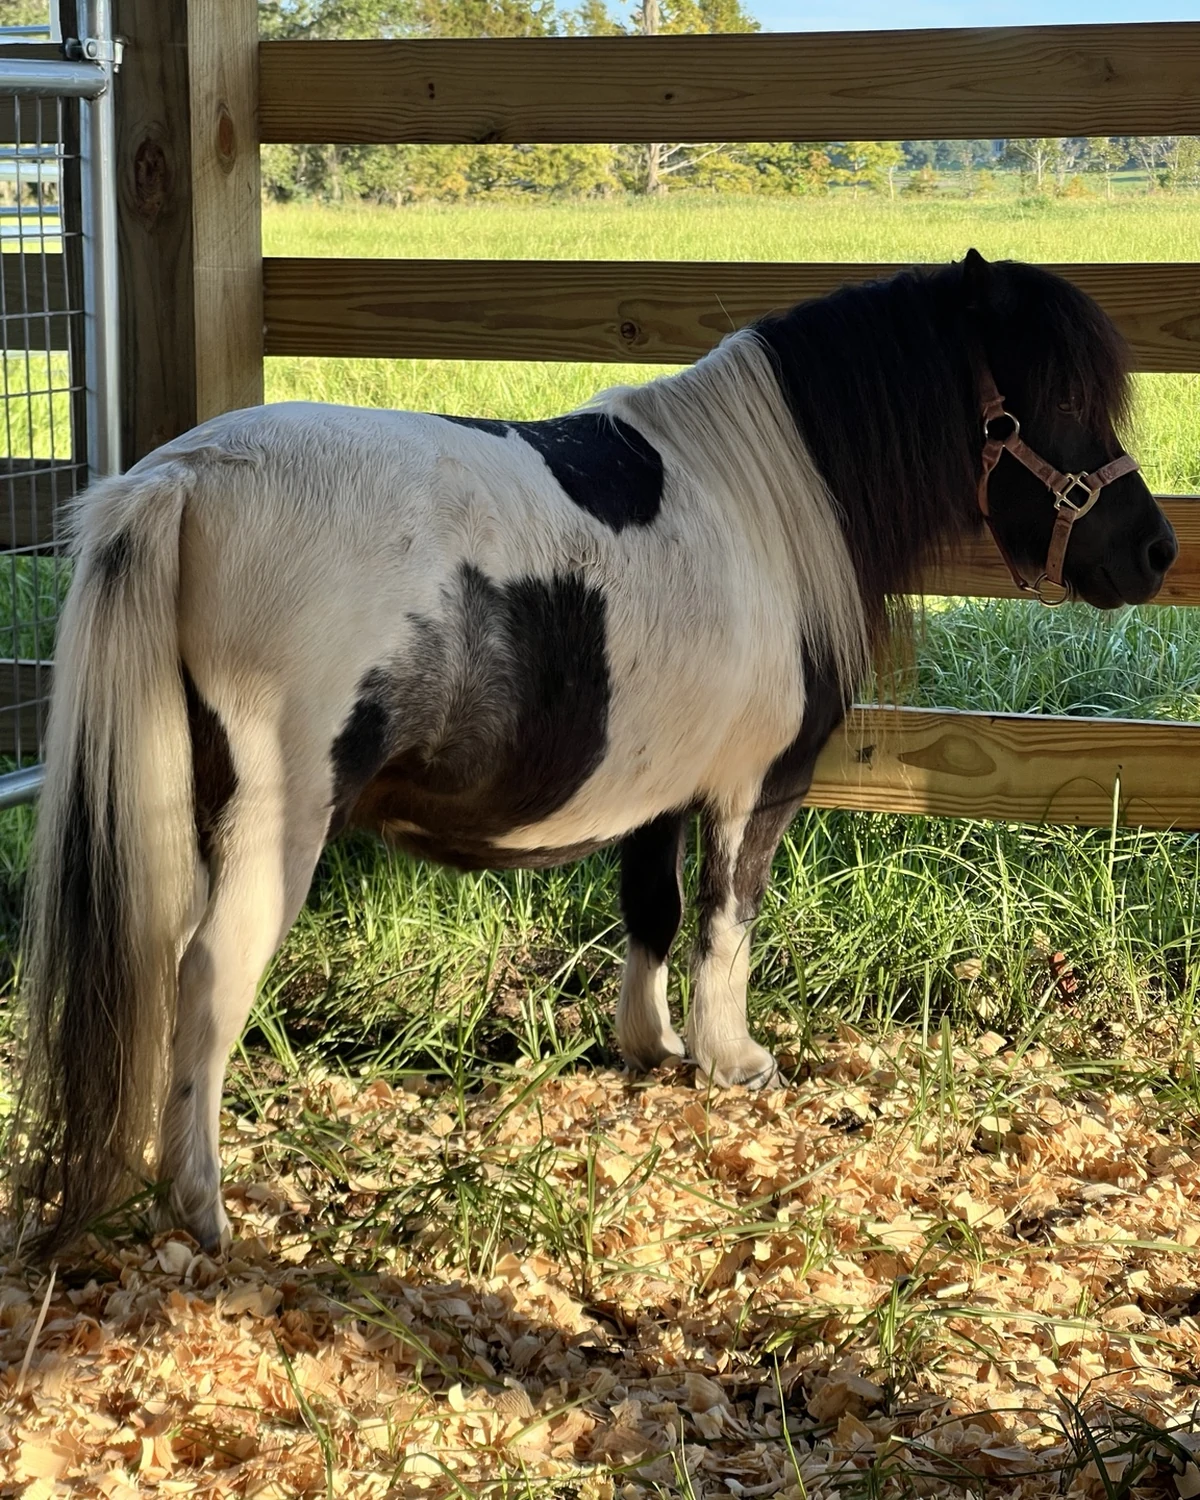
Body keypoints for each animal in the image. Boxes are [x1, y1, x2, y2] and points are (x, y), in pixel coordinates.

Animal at [11, 249, 1176, 1254]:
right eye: (1055, 403)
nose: (1155, 551)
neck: (770, 500)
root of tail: (183, 478)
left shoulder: (658, 788)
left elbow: (651, 909)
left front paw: (649, 1048)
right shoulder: (757, 788)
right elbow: (726, 919)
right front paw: (732, 1059)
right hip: (274, 818)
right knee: (210, 974)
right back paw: (201, 1205)